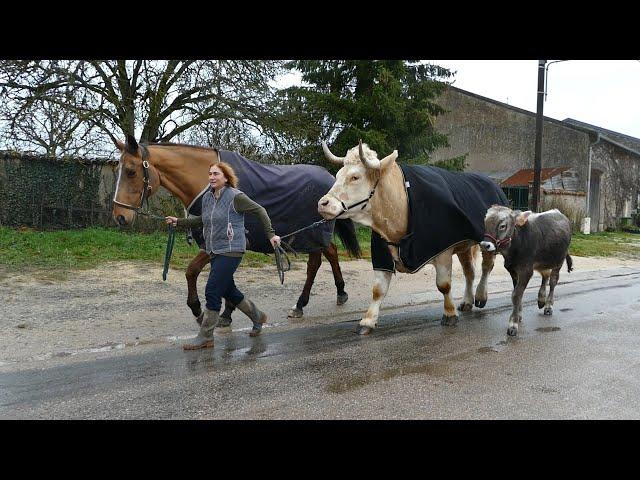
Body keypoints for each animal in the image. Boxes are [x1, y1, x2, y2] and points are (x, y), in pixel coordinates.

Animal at [110, 133, 360, 324]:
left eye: (131, 171)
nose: (120, 217)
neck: (208, 184)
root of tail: (329, 178)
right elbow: (218, 277)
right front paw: (226, 312)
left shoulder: (222, 242)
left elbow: (194, 272)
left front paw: (201, 309)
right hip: (315, 234)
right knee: (331, 253)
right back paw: (341, 292)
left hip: (313, 234)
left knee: (314, 265)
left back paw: (300, 304)